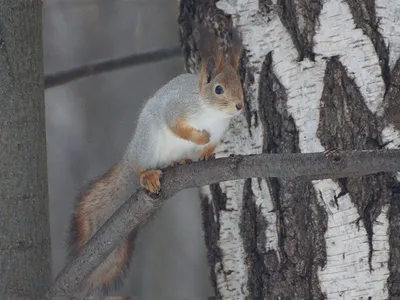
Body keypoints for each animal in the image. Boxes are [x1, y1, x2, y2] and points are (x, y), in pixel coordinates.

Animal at [68, 24, 244, 296]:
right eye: (218, 89)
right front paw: (198, 137)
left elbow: (213, 143)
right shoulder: (175, 108)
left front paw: (206, 152)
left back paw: (180, 163)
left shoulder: (221, 131)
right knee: (141, 167)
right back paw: (147, 174)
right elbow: (177, 126)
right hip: (148, 143)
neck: (210, 113)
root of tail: (131, 155)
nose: (239, 106)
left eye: (241, 82)